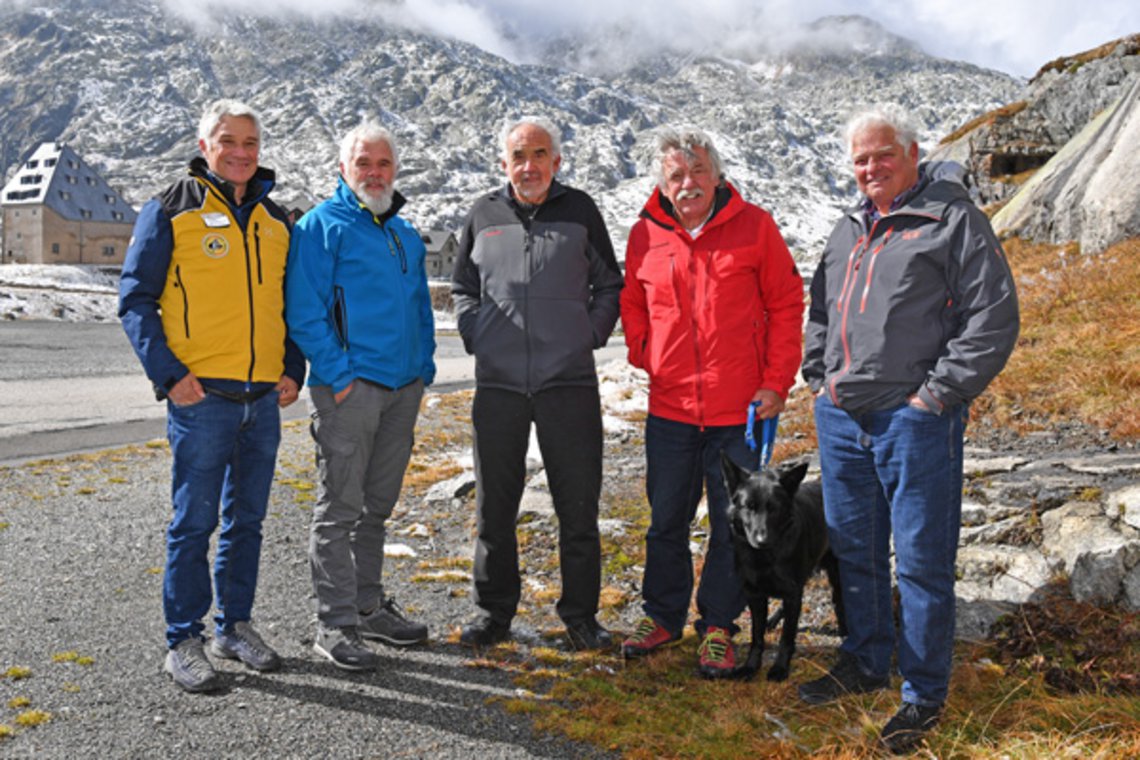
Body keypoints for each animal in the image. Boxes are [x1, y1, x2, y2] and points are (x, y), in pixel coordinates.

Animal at [720, 453, 846, 681]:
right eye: (749, 506)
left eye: (774, 509)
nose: (761, 541)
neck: (766, 557)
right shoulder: (755, 595)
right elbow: (756, 636)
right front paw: (751, 666)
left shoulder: (792, 592)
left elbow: (787, 637)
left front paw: (779, 668)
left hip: (836, 573)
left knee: (839, 600)